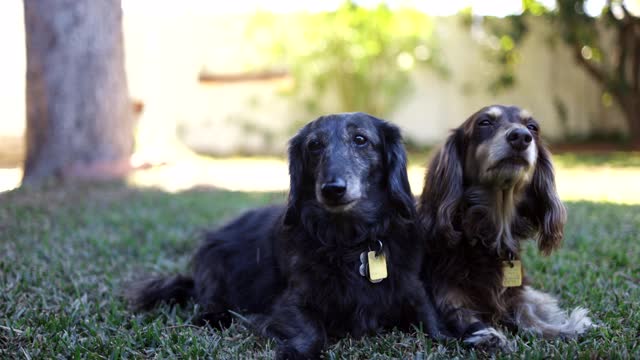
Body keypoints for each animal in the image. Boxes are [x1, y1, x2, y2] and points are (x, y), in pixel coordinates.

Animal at [130, 113, 444, 360]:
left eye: (360, 139)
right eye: (314, 145)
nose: (332, 189)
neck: (349, 244)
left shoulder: (412, 288)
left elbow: (436, 326)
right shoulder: (289, 303)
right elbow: (311, 332)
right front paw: (296, 352)